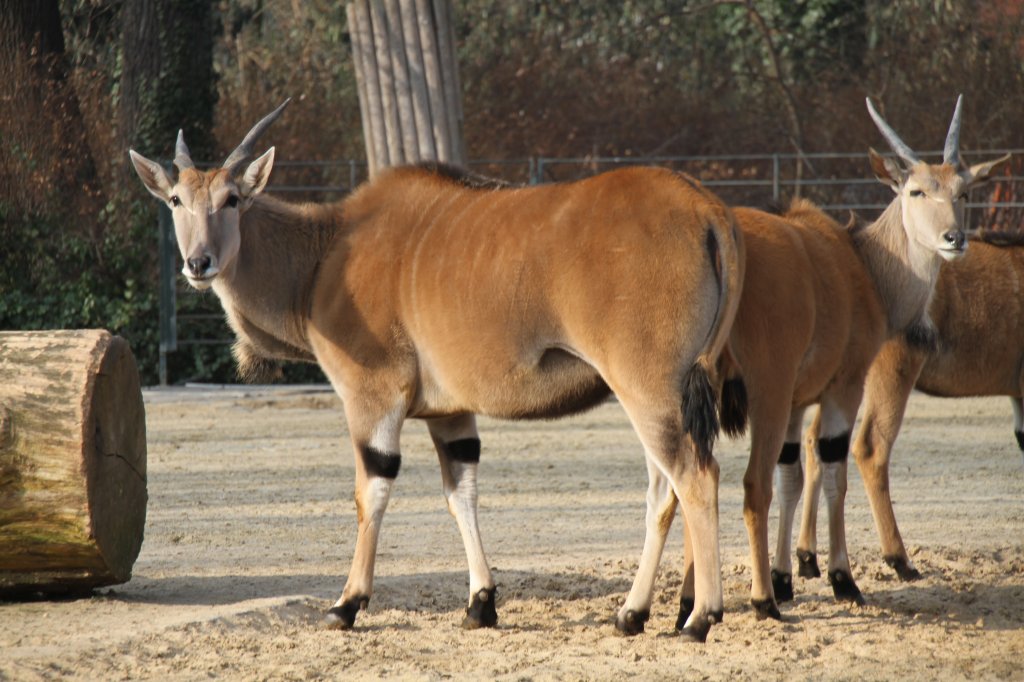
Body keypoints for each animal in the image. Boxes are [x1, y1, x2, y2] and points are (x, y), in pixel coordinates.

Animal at [132, 99, 749, 638]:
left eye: (233, 198)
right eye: (176, 201)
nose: (198, 263)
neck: (325, 253)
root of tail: (706, 208)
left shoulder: (372, 396)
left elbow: (372, 491)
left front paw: (346, 604)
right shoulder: (449, 414)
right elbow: (461, 493)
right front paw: (481, 604)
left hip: (648, 391)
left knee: (694, 478)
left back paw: (699, 618)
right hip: (658, 397)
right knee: (666, 489)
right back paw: (636, 613)